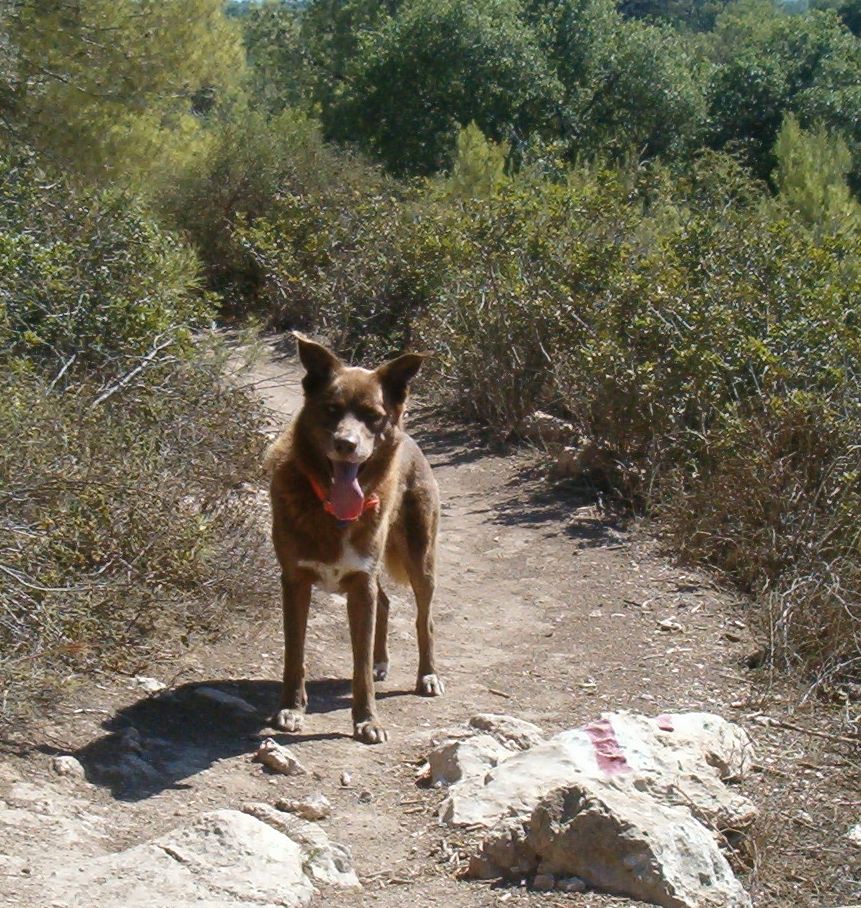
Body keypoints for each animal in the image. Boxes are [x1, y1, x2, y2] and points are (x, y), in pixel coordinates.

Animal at [266, 336, 444, 744]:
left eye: (372, 415)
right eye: (331, 409)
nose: (346, 444)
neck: (331, 508)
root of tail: (411, 440)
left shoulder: (360, 584)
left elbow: (358, 666)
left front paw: (367, 720)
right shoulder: (295, 581)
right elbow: (294, 652)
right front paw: (291, 709)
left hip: (420, 560)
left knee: (423, 619)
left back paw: (427, 675)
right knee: (387, 603)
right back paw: (382, 660)